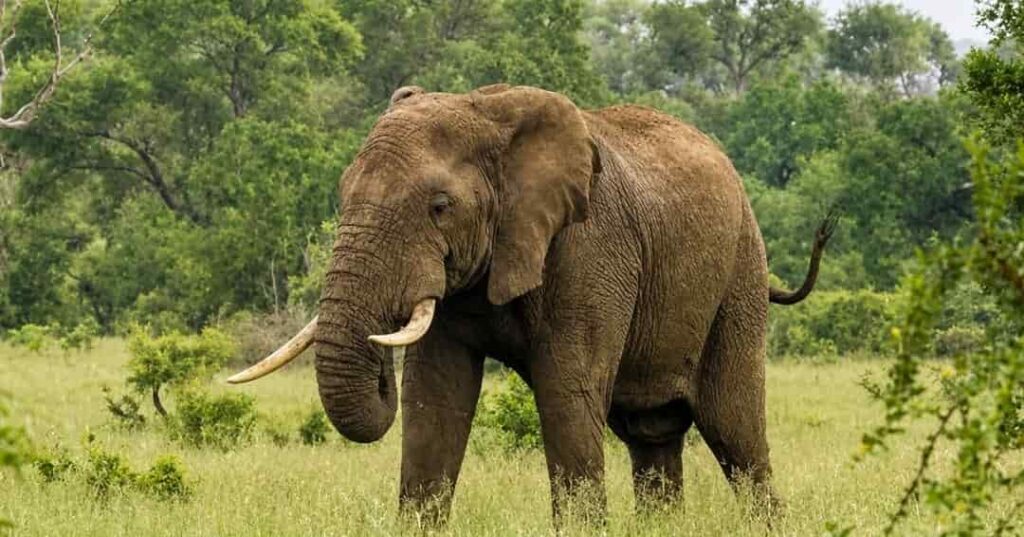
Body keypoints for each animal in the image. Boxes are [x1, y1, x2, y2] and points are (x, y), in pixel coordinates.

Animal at [228, 84, 836, 524]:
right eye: (343, 194)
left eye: (440, 207)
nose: (379, 358)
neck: (490, 115)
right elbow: (434, 398)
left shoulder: (591, 250)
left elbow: (567, 393)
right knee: (653, 435)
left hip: (739, 275)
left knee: (735, 430)